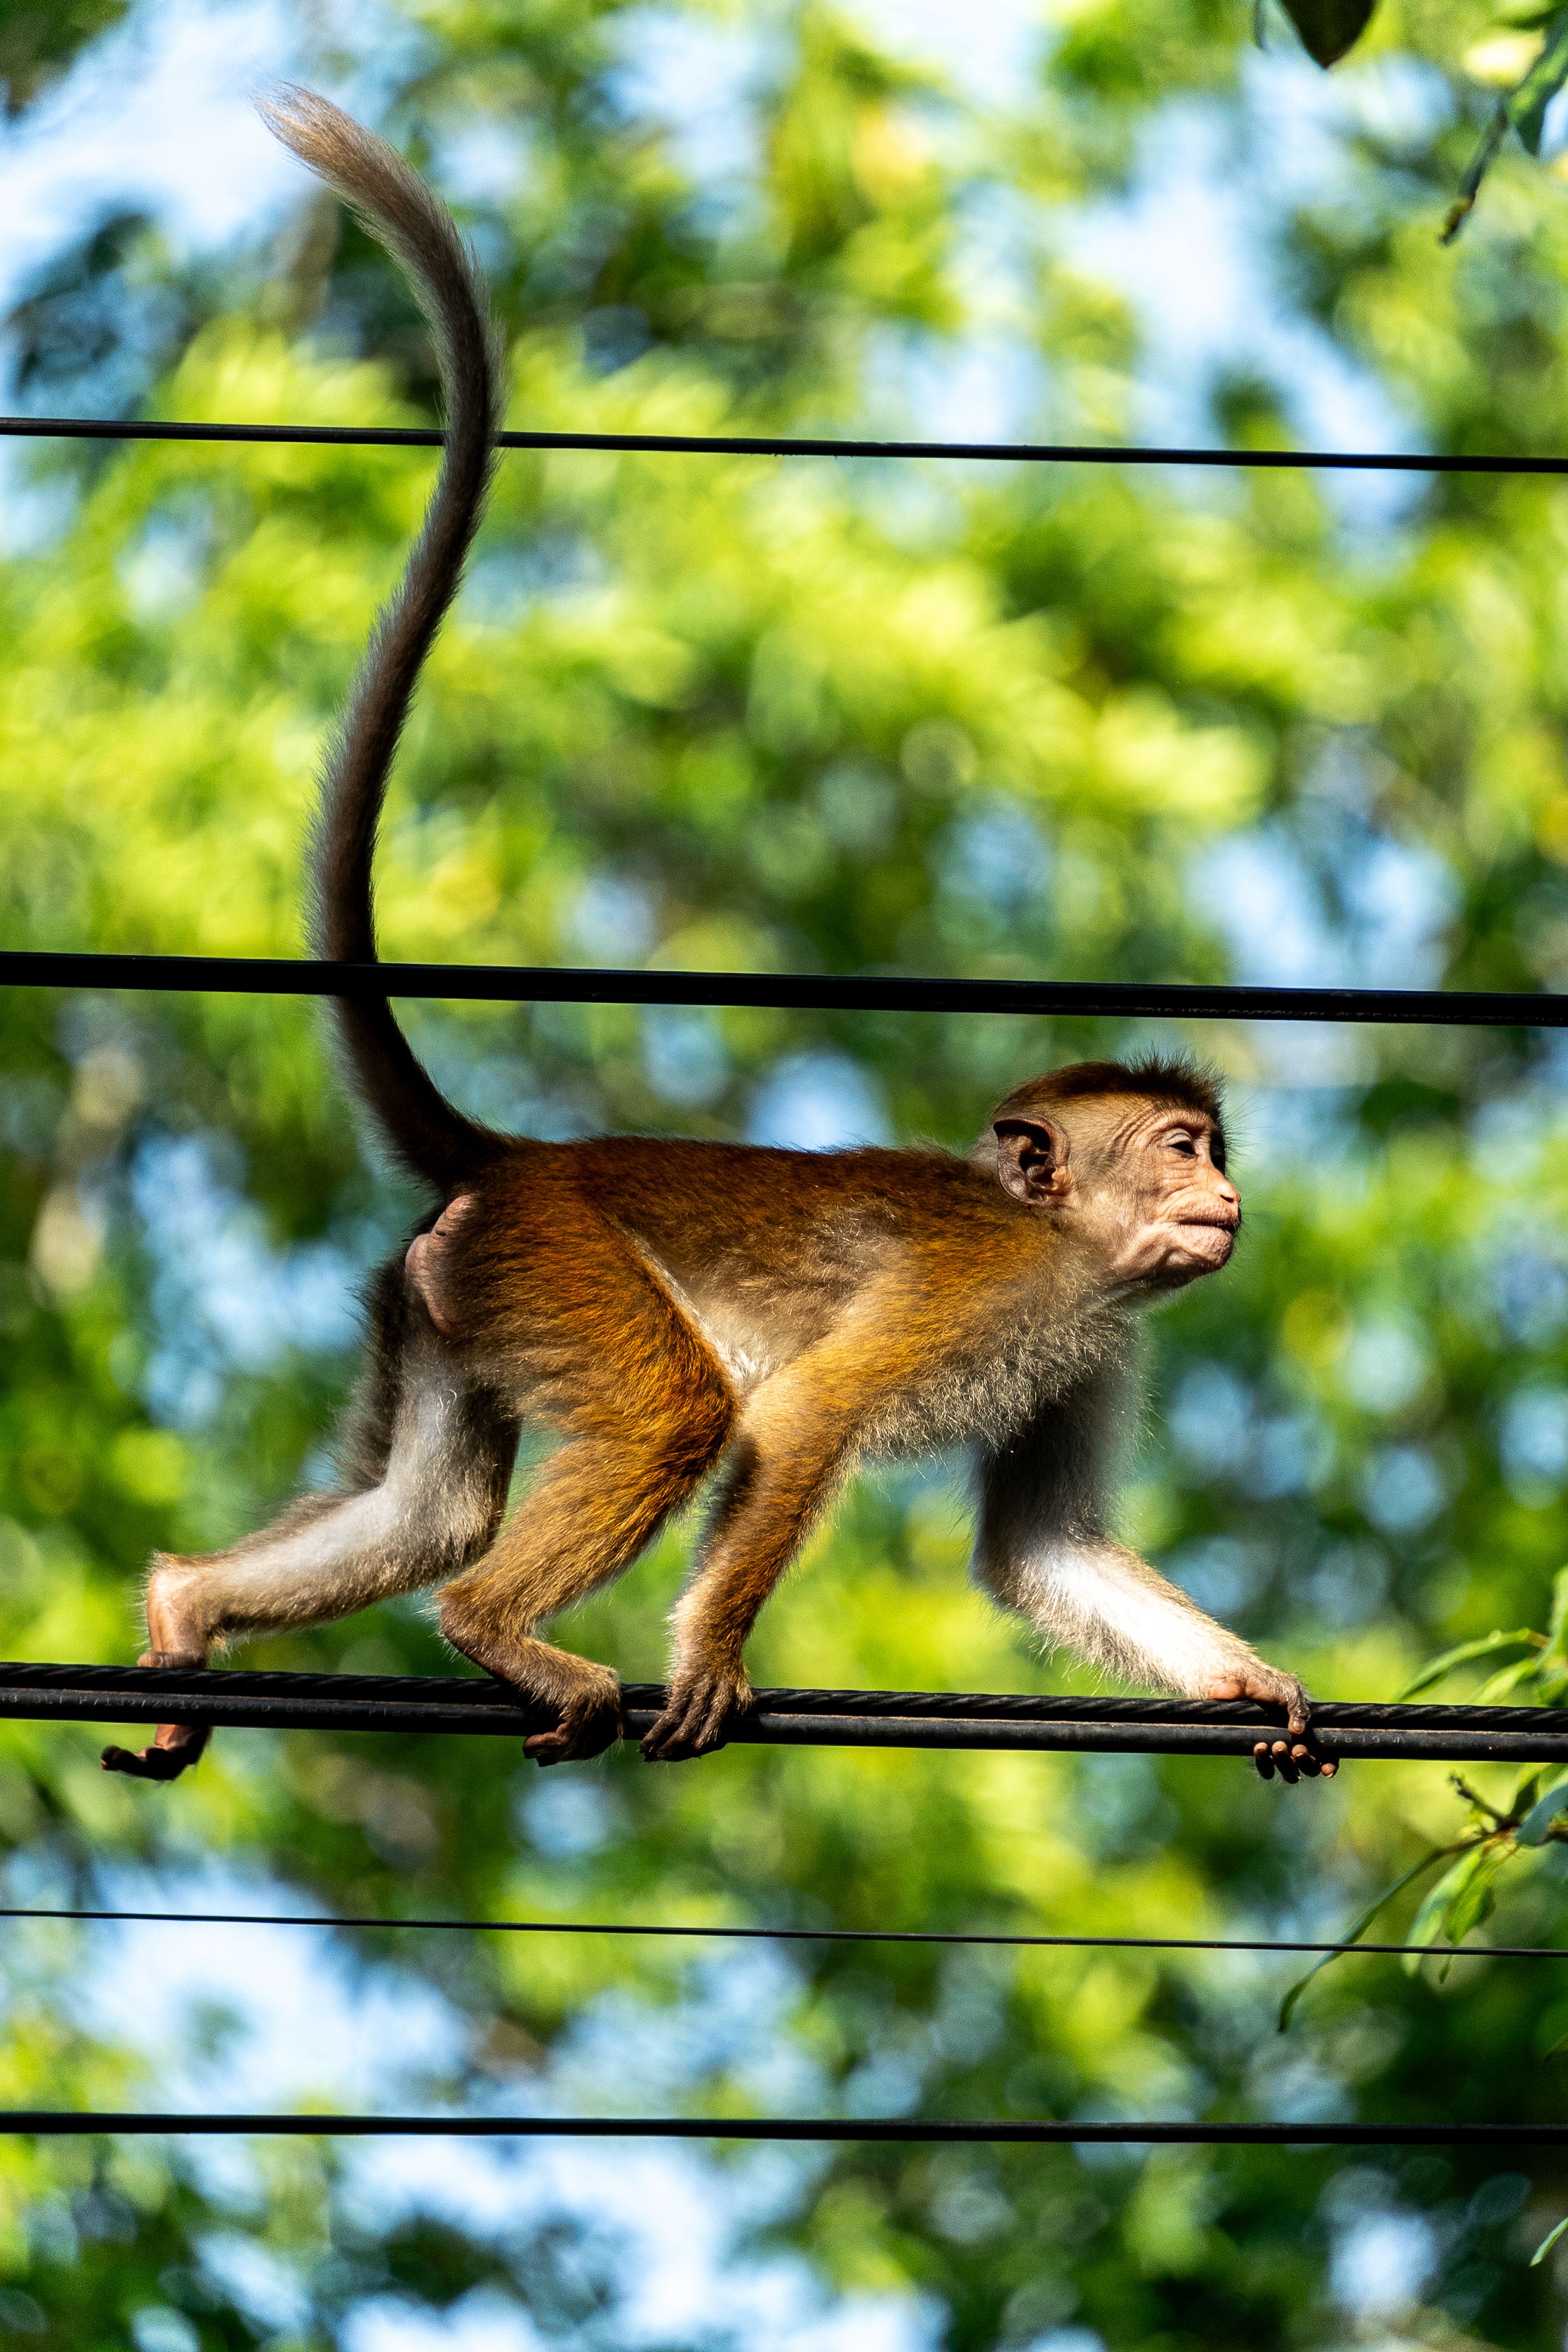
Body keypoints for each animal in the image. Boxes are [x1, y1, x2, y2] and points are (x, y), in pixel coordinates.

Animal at [99, 89, 1327, 1791]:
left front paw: (1243, 1682)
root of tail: (520, 1160)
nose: (1220, 1190)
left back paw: (191, 1605)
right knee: (668, 1414)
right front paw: (708, 1660)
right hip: (562, 1261)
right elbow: (798, 1421)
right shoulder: (994, 1292)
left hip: (454, 1283)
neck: (1064, 1247)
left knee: (429, 1510)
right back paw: (497, 1629)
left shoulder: (1087, 1338)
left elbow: (1044, 1555)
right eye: (1174, 1147)